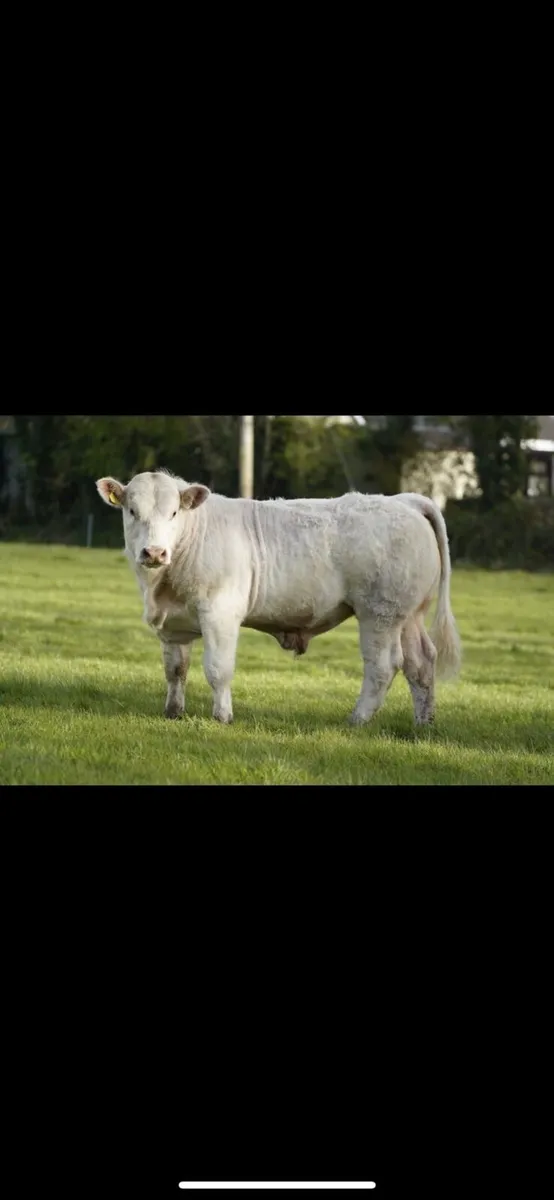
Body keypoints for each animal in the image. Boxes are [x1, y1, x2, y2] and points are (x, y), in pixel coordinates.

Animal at [96, 471, 461, 727]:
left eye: (174, 513)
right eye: (132, 511)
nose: (155, 552)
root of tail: (406, 500)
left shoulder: (220, 614)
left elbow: (218, 669)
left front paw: (222, 717)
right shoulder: (173, 625)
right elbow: (175, 670)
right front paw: (173, 713)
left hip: (379, 614)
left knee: (383, 667)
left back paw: (357, 720)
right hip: (408, 616)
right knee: (420, 663)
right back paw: (423, 723)